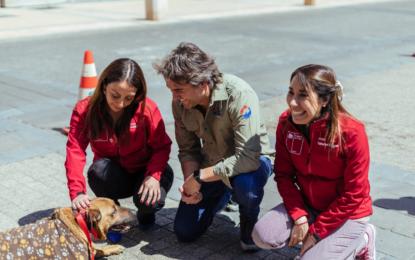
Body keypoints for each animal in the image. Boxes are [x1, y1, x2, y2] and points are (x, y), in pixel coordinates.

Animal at [0, 198, 137, 258]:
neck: (80, 224)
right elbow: (99, 250)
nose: (136, 212)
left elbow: (100, 249)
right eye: (114, 210)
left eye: (116, 205)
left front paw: (114, 248)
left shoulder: (89, 248)